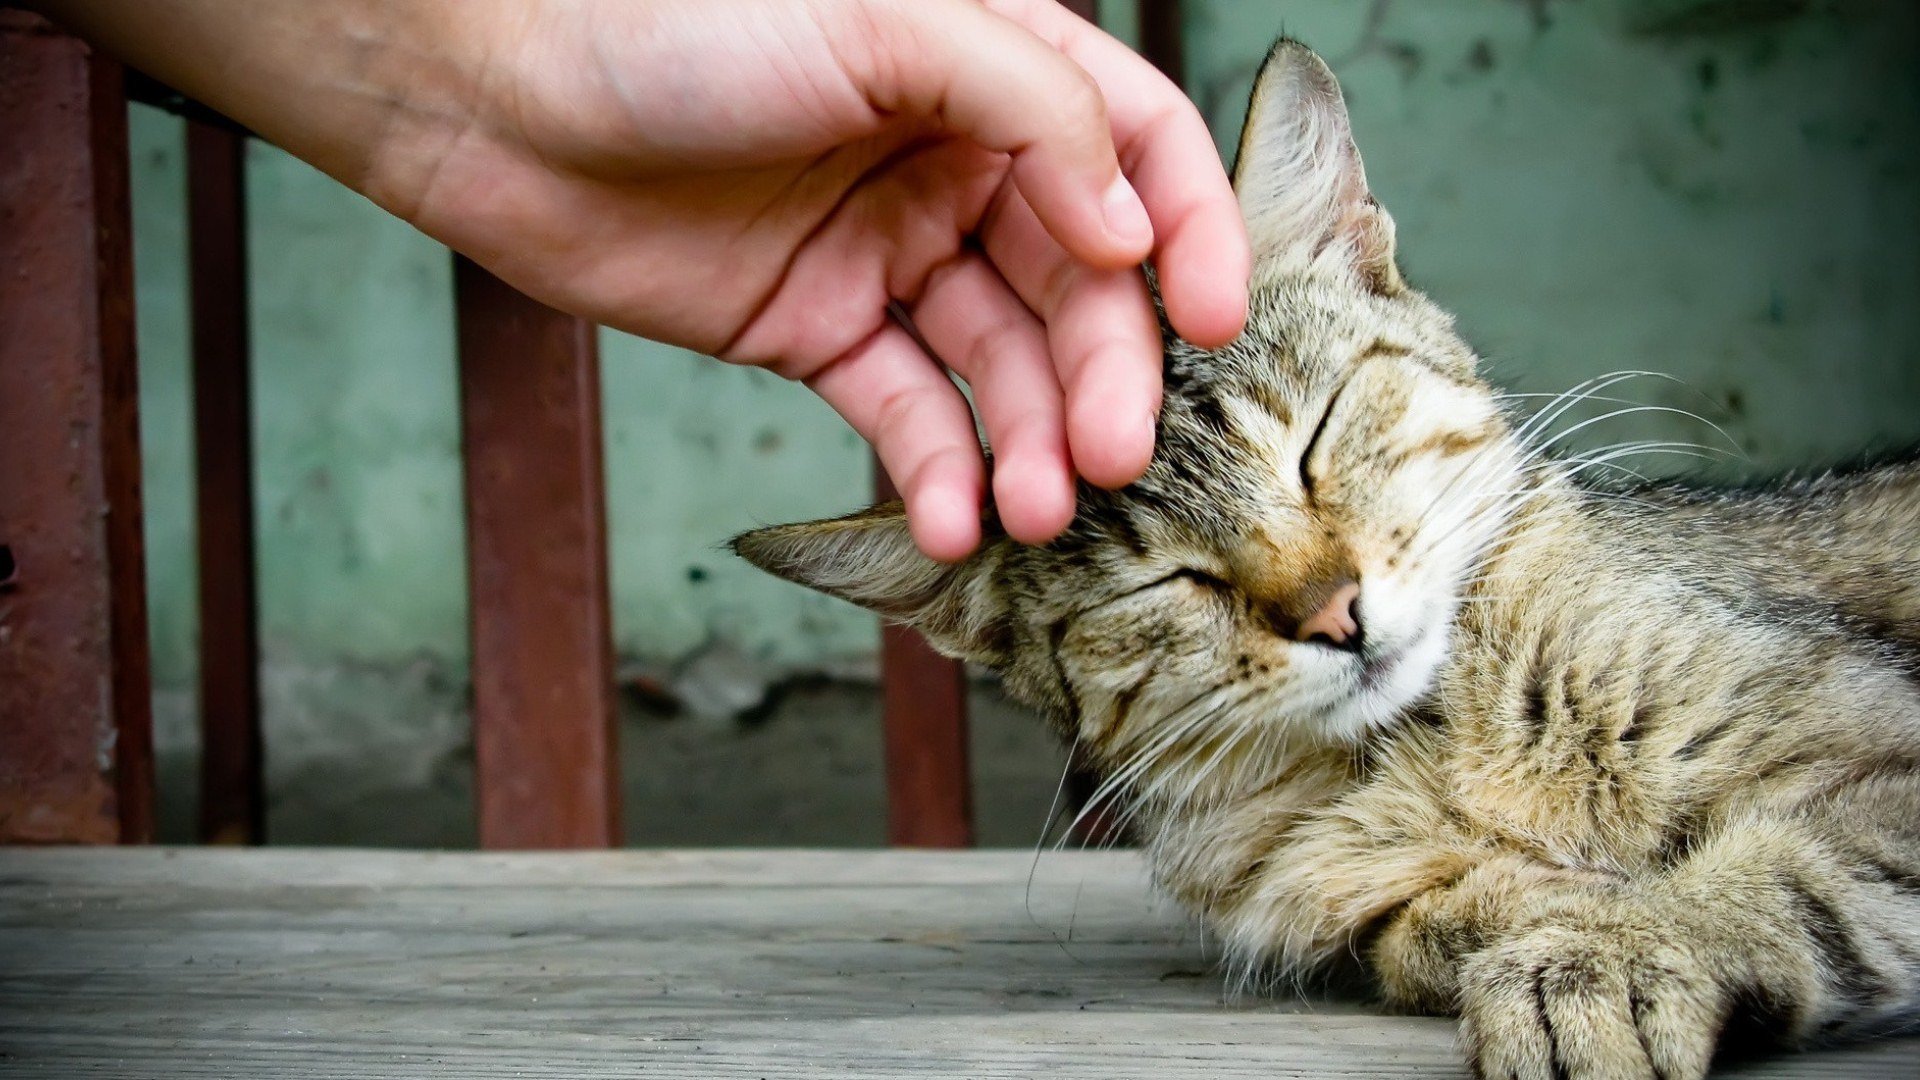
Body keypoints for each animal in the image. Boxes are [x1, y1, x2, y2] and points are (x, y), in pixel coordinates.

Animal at [725, 37, 1912, 1068]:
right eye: (1171, 579)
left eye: (1315, 441)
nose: (1336, 613)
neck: (1427, 749)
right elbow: (1423, 927)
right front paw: (1529, 914)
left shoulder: (1883, 759)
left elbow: (1781, 876)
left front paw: (1610, 955)